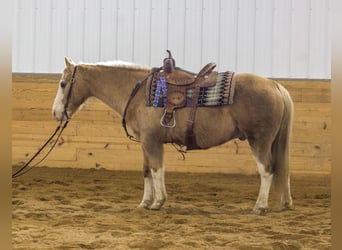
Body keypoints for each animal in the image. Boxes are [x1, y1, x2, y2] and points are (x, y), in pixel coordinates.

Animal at [52, 57, 292, 214]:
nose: (55, 112)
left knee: (267, 170)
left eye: (63, 84)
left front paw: (158, 202)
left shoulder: (152, 142)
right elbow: (147, 171)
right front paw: (145, 203)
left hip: (259, 141)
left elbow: (157, 170)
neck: (138, 93)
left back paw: (259, 206)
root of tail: (275, 85)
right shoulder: (145, 143)